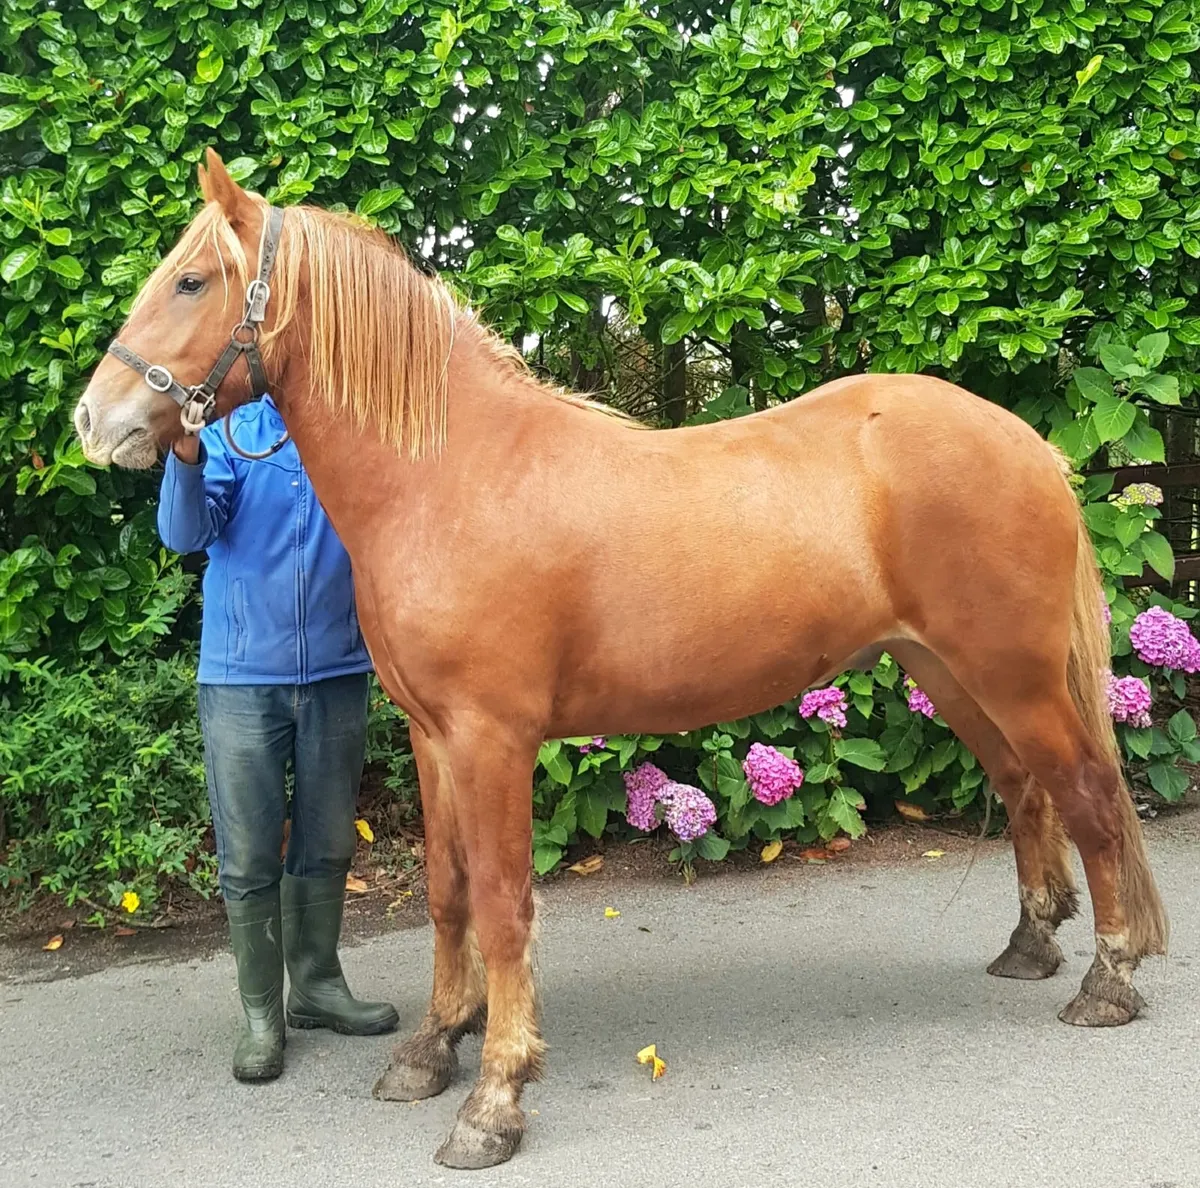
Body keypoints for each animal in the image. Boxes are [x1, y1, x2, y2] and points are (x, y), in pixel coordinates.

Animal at [75, 149, 1167, 1169]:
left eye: (190, 281)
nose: (96, 420)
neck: (451, 477)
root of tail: (1026, 444)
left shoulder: (493, 739)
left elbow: (504, 904)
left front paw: (495, 1100)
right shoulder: (435, 739)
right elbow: (448, 893)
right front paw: (433, 1048)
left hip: (1013, 673)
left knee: (1086, 793)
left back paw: (1107, 982)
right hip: (948, 670)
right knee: (1026, 788)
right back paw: (1030, 946)